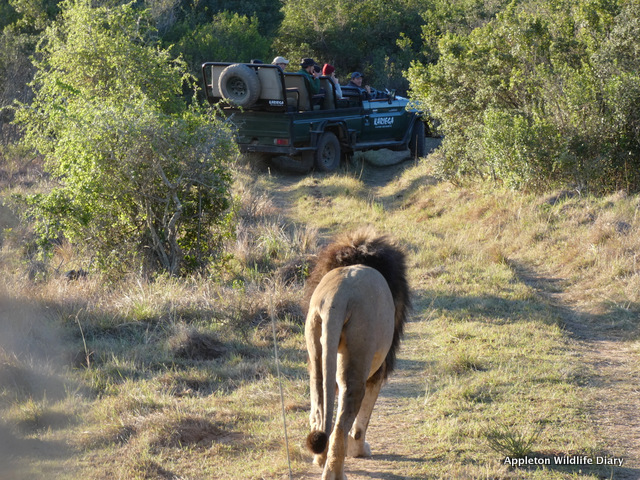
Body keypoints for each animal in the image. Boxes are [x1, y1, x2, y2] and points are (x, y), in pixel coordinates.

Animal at [303, 228, 410, 480]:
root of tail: (338, 296)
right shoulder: (379, 369)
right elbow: (363, 421)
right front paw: (360, 450)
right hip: (357, 359)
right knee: (340, 423)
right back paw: (334, 473)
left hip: (316, 348)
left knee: (319, 408)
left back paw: (319, 459)